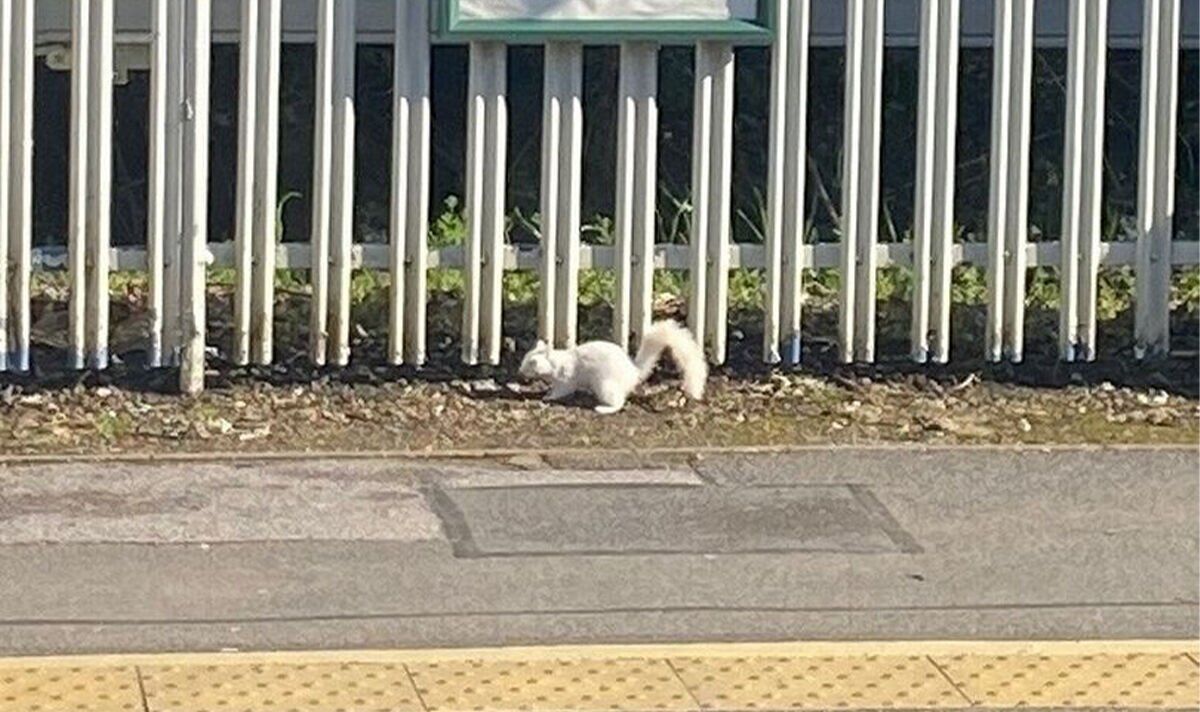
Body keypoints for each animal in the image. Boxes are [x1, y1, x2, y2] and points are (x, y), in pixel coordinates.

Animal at [520, 319, 705, 413]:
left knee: (619, 403)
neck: (556, 362)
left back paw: (603, 408)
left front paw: (548, 397)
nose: (520, 371)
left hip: (605, 386)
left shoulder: (566, 379)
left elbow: (562, 391)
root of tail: (633, 372)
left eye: (532, 362)